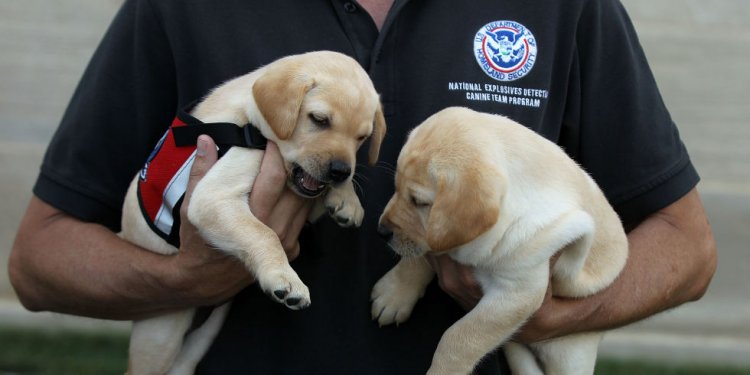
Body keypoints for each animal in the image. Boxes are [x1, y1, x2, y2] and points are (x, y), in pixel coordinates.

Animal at [121, 50, 388, 375]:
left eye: (362, 137)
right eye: (319, 120)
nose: (340, 171)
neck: (251, 124)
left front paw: (345, 198)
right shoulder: (212, 196)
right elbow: (264, 233)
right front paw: (284, 278)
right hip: (160, 334)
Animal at [374, 106, 628, 375]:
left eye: (419, 202)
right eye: (396, 188)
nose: (381, 230)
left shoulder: (517, 291)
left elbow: (460, 336)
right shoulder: (437, 238)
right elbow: (424, 253)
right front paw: (394, 293)